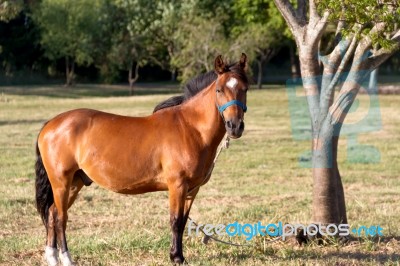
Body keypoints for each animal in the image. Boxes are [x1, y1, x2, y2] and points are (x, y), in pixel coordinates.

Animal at [36, 53, 248, 264]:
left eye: (245, 89)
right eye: (219, 89)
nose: (235, 126)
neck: (190, 128)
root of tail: (51, 124)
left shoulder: (192, 190)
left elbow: (183, 221)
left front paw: (179, 256)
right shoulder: (177, 185)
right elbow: (175, 221)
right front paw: (176, 257)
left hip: (75, 182)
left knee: (53, 214)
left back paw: (52, 257)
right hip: (61, 182)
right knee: (61, 218)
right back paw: (66, 258)